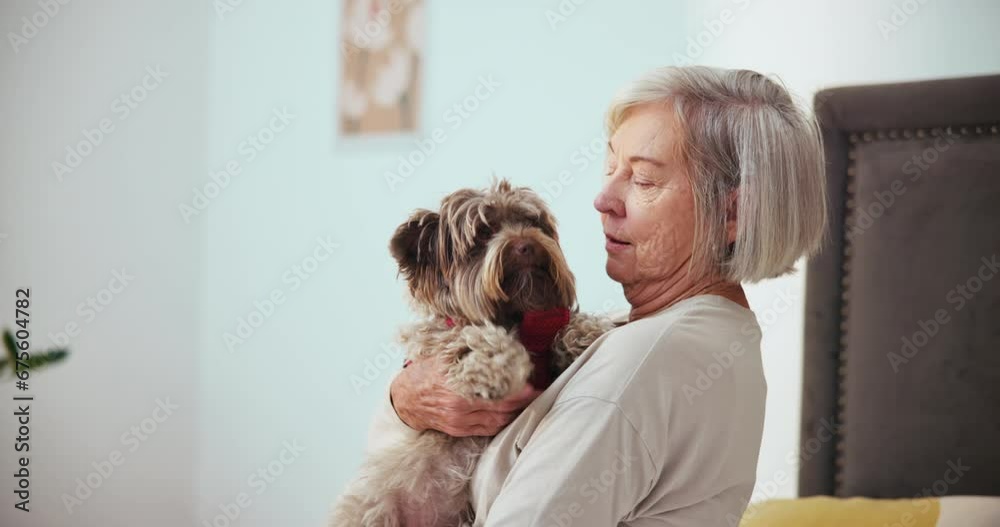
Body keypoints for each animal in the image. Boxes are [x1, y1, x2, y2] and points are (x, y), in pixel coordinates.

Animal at [330, 179, 608, 524]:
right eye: (483, 233)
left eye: (532, 222)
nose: (526, 244)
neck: (519, 318)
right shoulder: (437, 340)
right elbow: (472, 339)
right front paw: (498, 368)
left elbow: (567, 323)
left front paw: (585, 332)